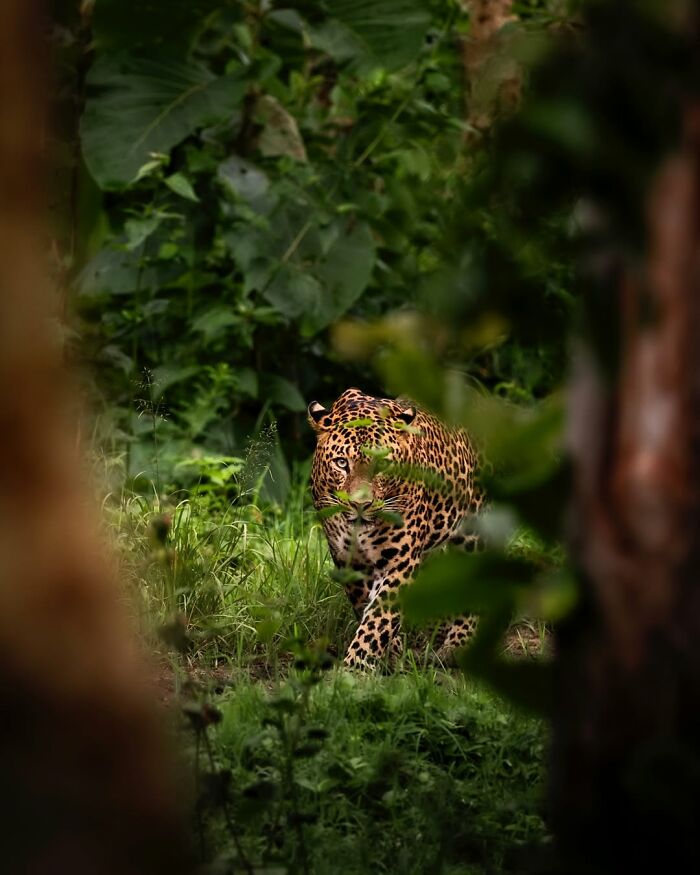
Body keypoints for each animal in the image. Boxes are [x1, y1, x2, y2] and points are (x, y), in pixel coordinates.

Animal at [308, 387, 484, 669]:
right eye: (341, 463)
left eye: (382, 465)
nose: (360, 505)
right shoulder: (350, 562)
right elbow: (371, 610)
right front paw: (391, 652)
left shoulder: (400, 562)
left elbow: (379, 618)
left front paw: (356, 667)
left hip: (473, 529)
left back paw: (456, 646)